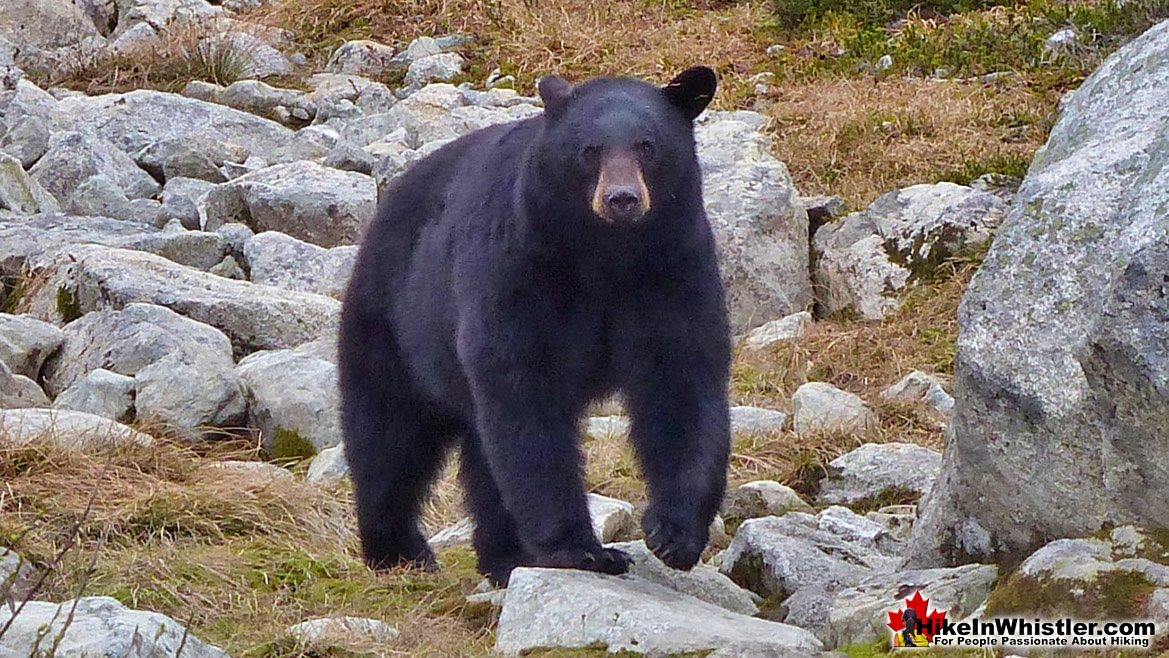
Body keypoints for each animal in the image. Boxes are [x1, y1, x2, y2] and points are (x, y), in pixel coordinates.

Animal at [339, 66, 734, 584]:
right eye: (591, 150)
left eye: (648, 146)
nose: (622, 199)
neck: (608, 256)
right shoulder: (521, 265)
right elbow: (526, 392)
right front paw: (583, 549)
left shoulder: (673, 269)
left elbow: (682, 382)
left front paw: (674, 534)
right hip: (393, 318)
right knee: (389, 431)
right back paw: (397, 550)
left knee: (479, 456)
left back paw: (503, 555)